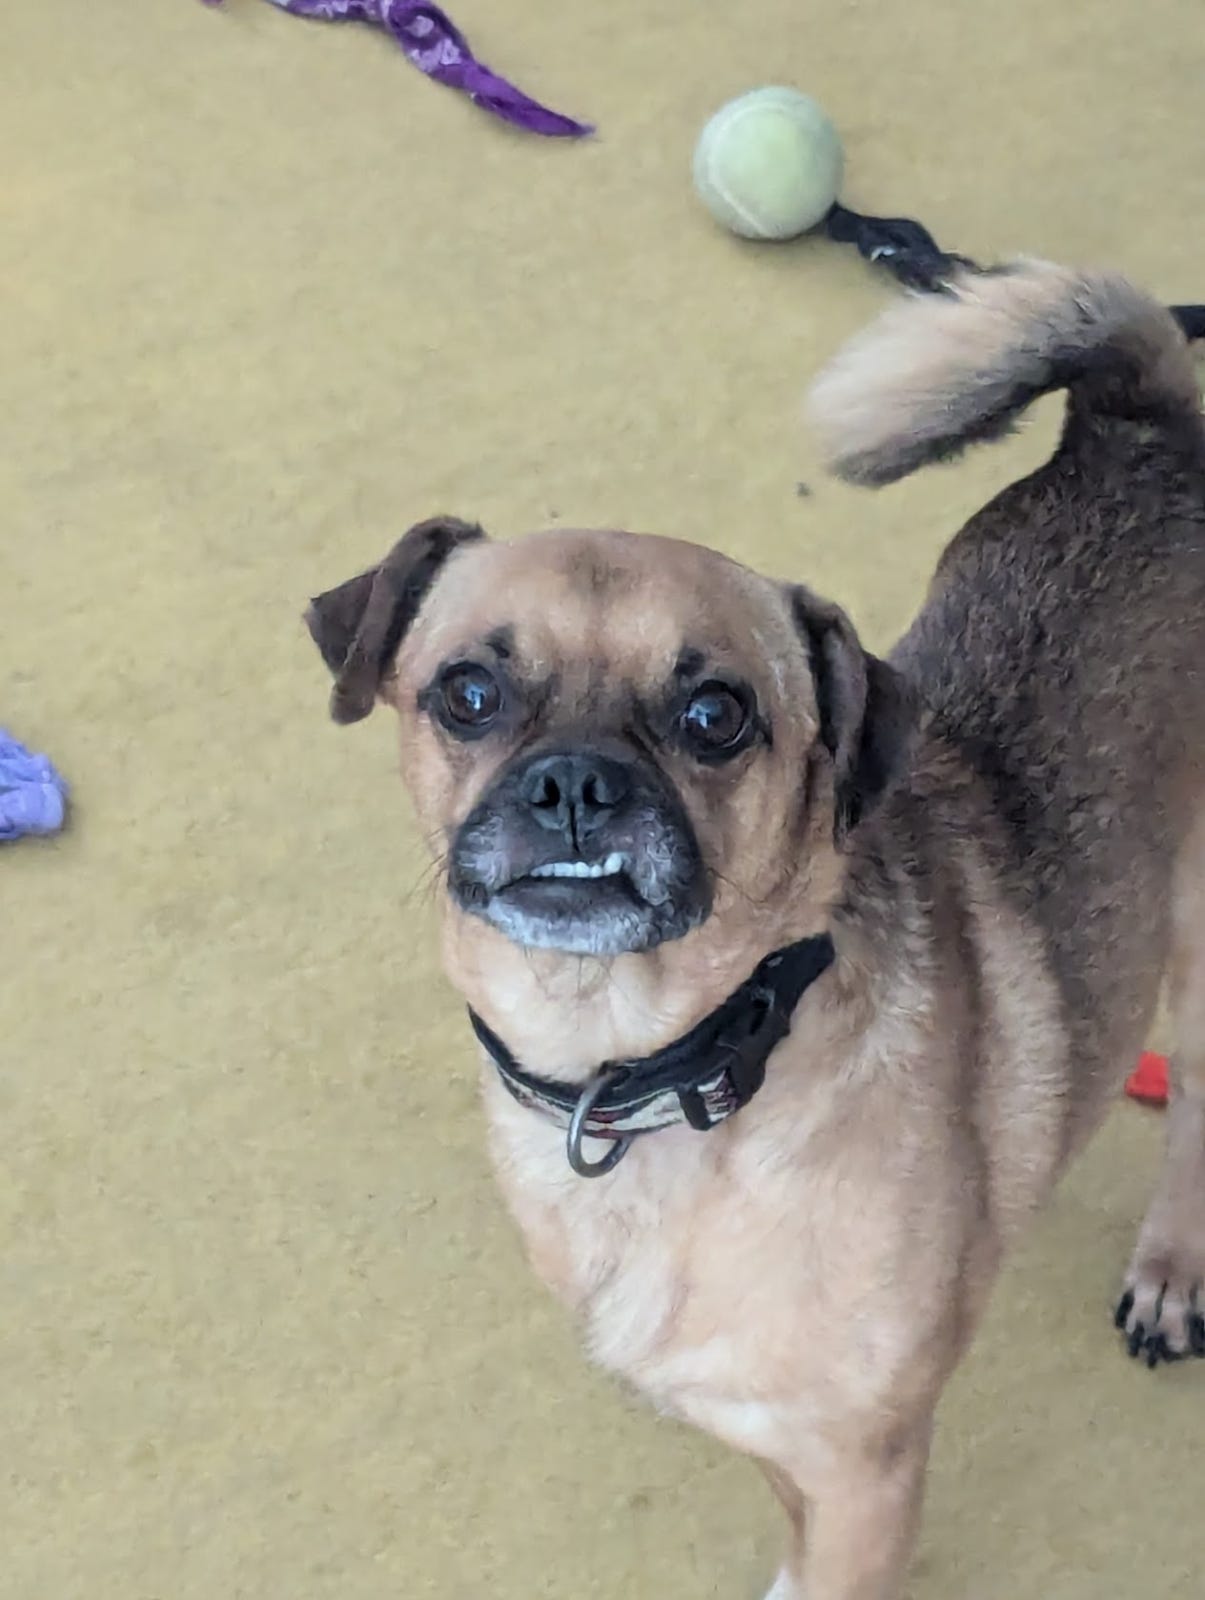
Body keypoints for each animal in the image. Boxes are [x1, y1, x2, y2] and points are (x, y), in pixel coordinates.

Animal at [302, 265, 1203, 1600]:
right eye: (467, 694)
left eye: (714, 715)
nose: (574, 784)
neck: (651, 1073)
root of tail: (1145, 429)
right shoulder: (783, 1445)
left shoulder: (865, 1469)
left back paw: (1170, 1270)